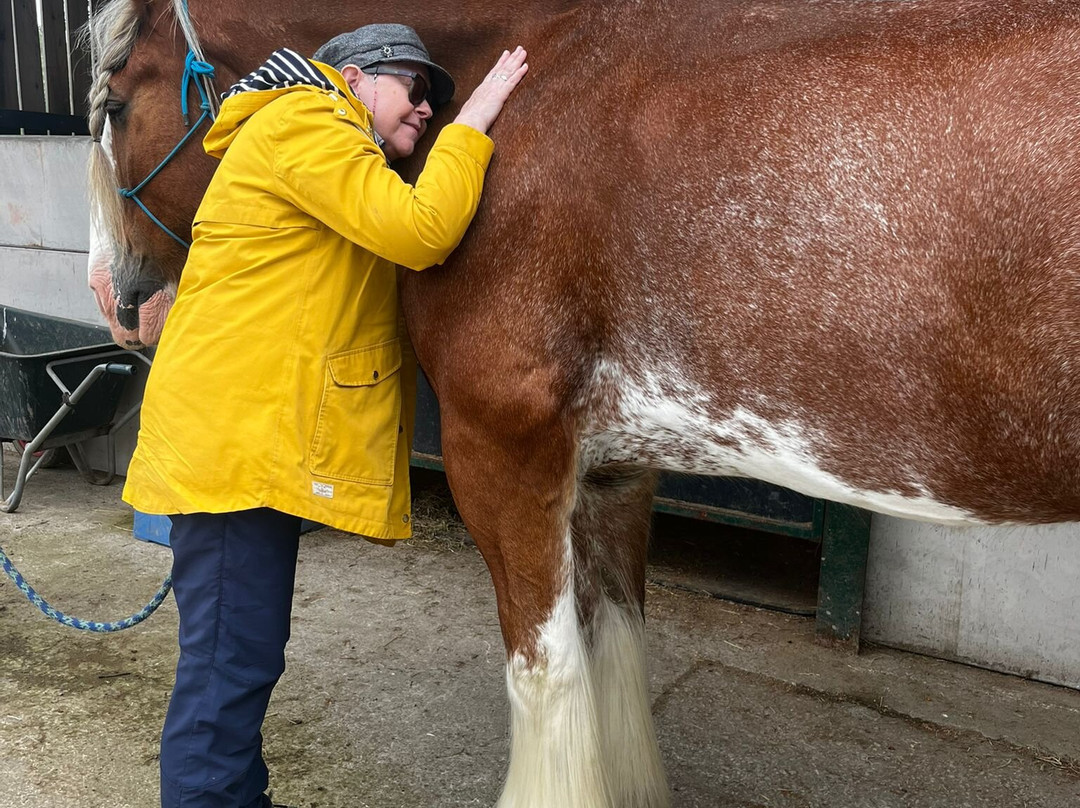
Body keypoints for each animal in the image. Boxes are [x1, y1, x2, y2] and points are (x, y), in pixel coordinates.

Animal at [85, 1, 1080, 805]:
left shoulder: (502, 449)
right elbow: (614, 647)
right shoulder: (611, 468)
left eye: (115, 106)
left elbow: (549, 672)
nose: (115, 298)